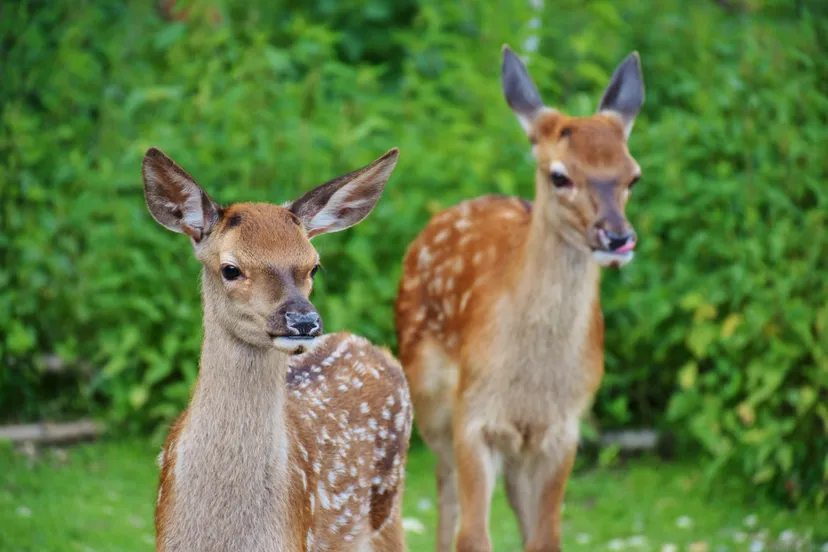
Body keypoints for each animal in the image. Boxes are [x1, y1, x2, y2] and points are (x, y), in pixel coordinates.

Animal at [394, 46, 645, 552]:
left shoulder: (563, 429)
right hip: (429, 397)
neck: (531, 383)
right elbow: (472, 536)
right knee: (446, 492)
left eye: (633, 176)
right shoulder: (474, 416)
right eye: (560, 176)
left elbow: (546, 536)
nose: (617, 237)